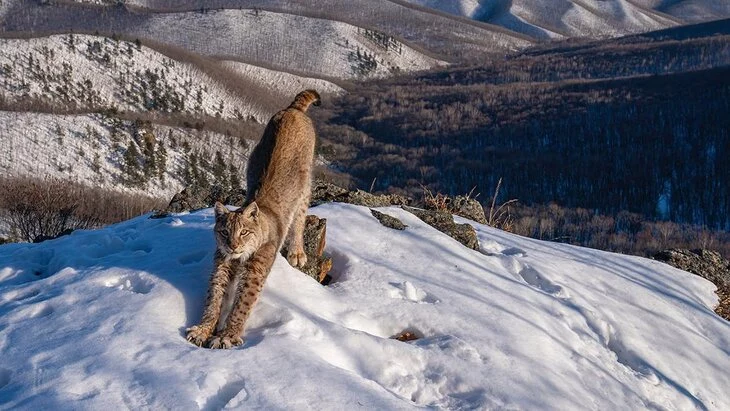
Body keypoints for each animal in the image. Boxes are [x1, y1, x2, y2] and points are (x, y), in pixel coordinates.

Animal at [185, 88, 318, 350]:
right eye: (224, 232)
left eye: (244, 232)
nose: (233, 246)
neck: (240, 256)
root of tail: (292, 110)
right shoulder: (222, 264)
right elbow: (213, 298)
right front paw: (204, 329)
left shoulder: (255, 270)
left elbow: (243, 303)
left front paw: (227, 334)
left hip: (304, 185)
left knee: (299, 217)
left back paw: (297, 252)